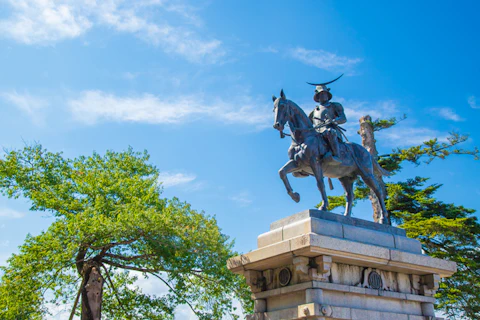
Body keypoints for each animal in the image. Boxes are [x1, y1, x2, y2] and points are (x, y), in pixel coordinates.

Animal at [274, 89, 390, 225]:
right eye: (274, 108)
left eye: (282, 106)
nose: (277, 125)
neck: (302, 138)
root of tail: (366, 151)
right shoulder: (297, 163)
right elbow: (282, 172)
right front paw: (295, 196)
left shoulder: (314, 162)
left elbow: (320, 183)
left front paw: (323, 206)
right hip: (345, 177)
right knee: (349, 195)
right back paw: (346, 216)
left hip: (367, 174)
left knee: (378, 191)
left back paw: (383, 218)